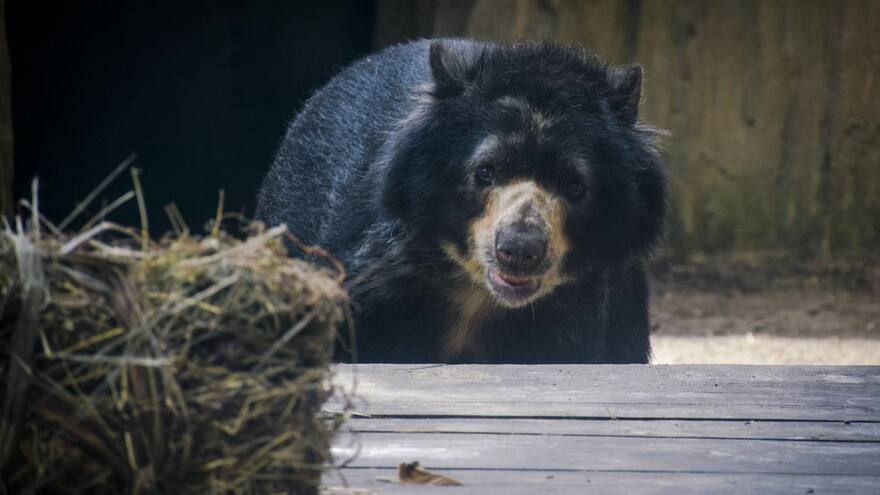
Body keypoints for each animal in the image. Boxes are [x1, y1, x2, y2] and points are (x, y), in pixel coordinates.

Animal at [256, 39, 666, 364]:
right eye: (485, 171)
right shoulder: (377, 282)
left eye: (575, 185)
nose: (519, 249)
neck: (477, 293)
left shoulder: (577, 313)